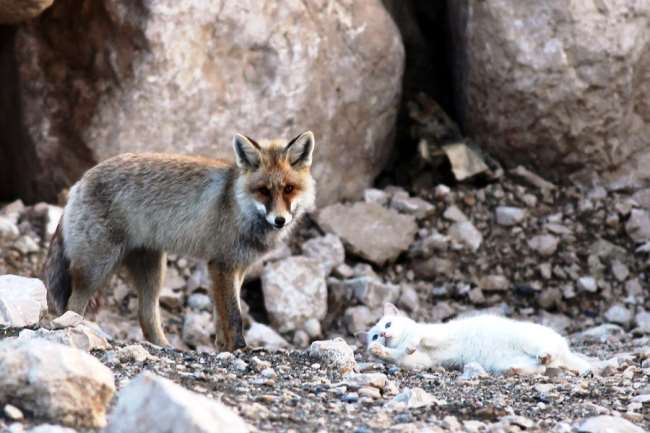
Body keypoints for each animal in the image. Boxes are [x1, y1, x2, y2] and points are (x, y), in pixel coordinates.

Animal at [41, 132, 316, 352]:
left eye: (289, 189)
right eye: (264, 191)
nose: (279, 220)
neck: (237, 204)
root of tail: (79, 182)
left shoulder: (234, 268)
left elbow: (221, 318)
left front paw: (224, 348)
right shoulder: (222, 265)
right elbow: (234, 316)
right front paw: (240, 348)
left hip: (153, 270)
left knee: (146, 316)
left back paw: (165, 347)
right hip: (95, 269)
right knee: (73, 305)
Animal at [362, 302, 588, 372]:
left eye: (388, 324)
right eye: (375, 336)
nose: (383, 334)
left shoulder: (435, 334)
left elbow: (417, 337)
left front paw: (409, 345)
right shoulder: (422, 361)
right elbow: (398, 357)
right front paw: (378, 351)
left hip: (530, 341)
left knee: (548, 352)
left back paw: (544, 355)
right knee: (541, 368)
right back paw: (517, 369)